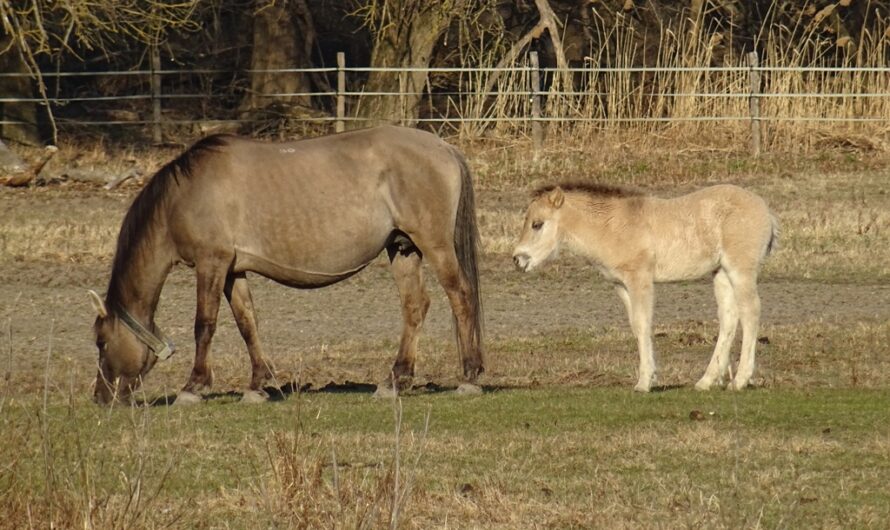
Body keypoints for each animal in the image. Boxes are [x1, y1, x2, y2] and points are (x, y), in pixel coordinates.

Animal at [86, 125, 482, 404]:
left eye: (101, 342)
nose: (102, 398)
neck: (184, 197)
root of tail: (445, 148)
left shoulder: (211, 263)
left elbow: (205, 325)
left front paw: (193, 386)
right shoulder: (233, 270)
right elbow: (247, 324)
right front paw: (257, 385)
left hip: (433, 245)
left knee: (461, 297)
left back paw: (469, 376)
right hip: (402, 249)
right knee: (415, 306)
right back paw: (395, 380)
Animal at [510, 184, 772, 390]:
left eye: (537, 224)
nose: (518, 260)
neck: (613, 227)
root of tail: (767, 212)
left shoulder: (640, 280)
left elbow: (643, 323)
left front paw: (644, 383)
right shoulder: (621, 285)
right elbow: (636, 326)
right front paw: (650, 377)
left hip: (740, 271)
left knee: (750, 313)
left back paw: (740, 380)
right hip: (721, 274)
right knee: (729, 318)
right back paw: (706, 381)